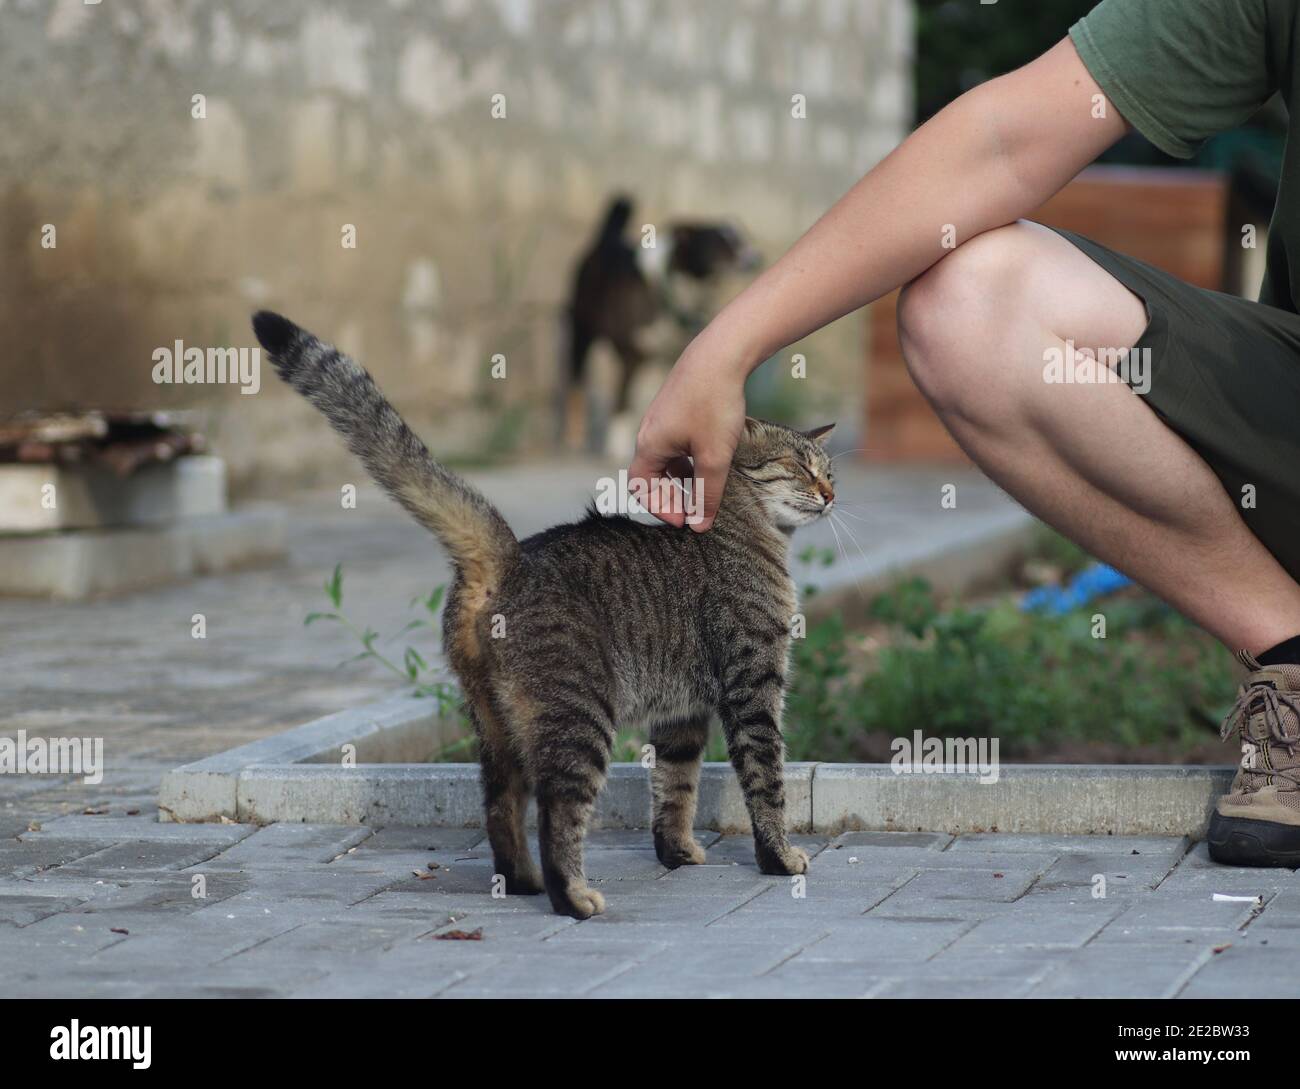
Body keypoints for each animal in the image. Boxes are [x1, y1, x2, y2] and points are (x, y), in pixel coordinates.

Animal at [252, 311, 837, 914]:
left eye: (830, 471)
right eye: (801, 466)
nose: (831, 493)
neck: (743, 531)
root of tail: (510, 557)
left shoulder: (682, 713)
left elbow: (675, 787)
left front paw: (677, 853)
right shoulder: (752, 685)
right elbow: (765, 779)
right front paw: (779, 857)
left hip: (496, 726)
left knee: (501, 808)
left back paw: (523, 881)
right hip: (580, 719)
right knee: (557, 816)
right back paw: (572, 896)